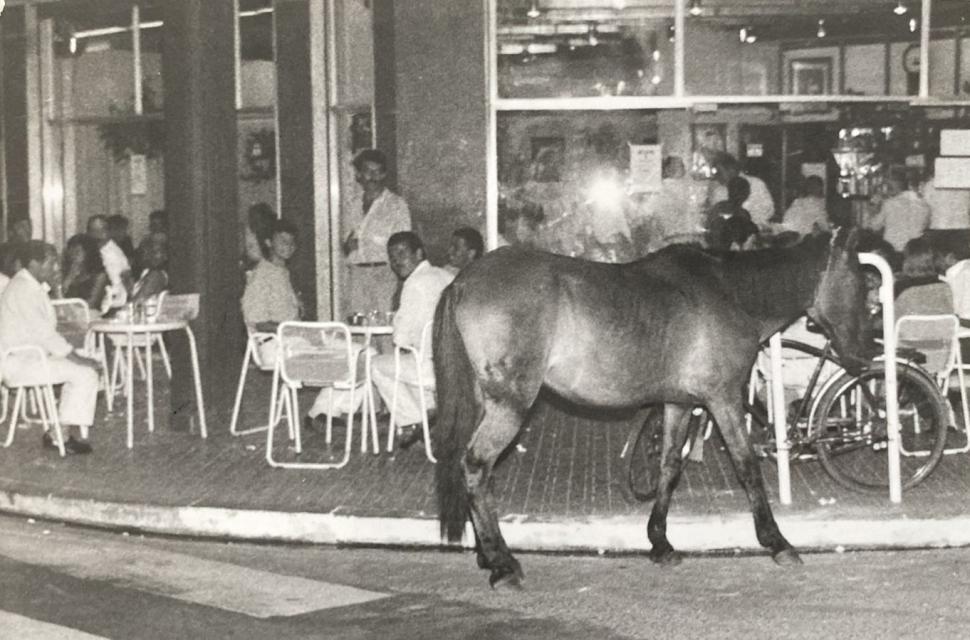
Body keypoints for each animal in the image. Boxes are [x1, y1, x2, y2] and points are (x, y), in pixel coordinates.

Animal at [432, 228, 871, 589]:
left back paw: (487, 555)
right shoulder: (723, 398)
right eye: (861, 283)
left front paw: (660, 543)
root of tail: (463, 281)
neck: (731, 292)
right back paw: (502, 564)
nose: (863, 356)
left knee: (477, 471)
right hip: (511, 404)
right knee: (477, 465)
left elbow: (669, 466)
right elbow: (746, 466)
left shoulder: (678, 403)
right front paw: (777, 541)